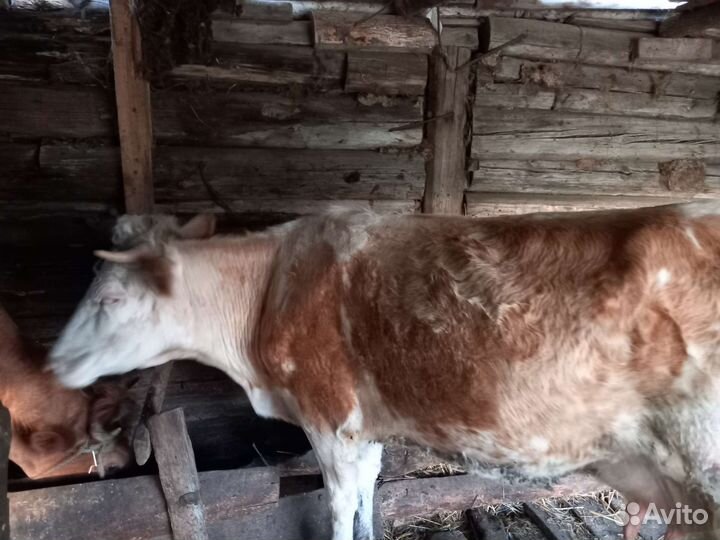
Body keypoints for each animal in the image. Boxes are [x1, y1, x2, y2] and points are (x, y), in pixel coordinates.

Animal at [49, 203, 720, 540]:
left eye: (111, 296)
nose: (53, 360)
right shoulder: (365, 428)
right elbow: (370, 490)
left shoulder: (329, 418)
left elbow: (340, 504)